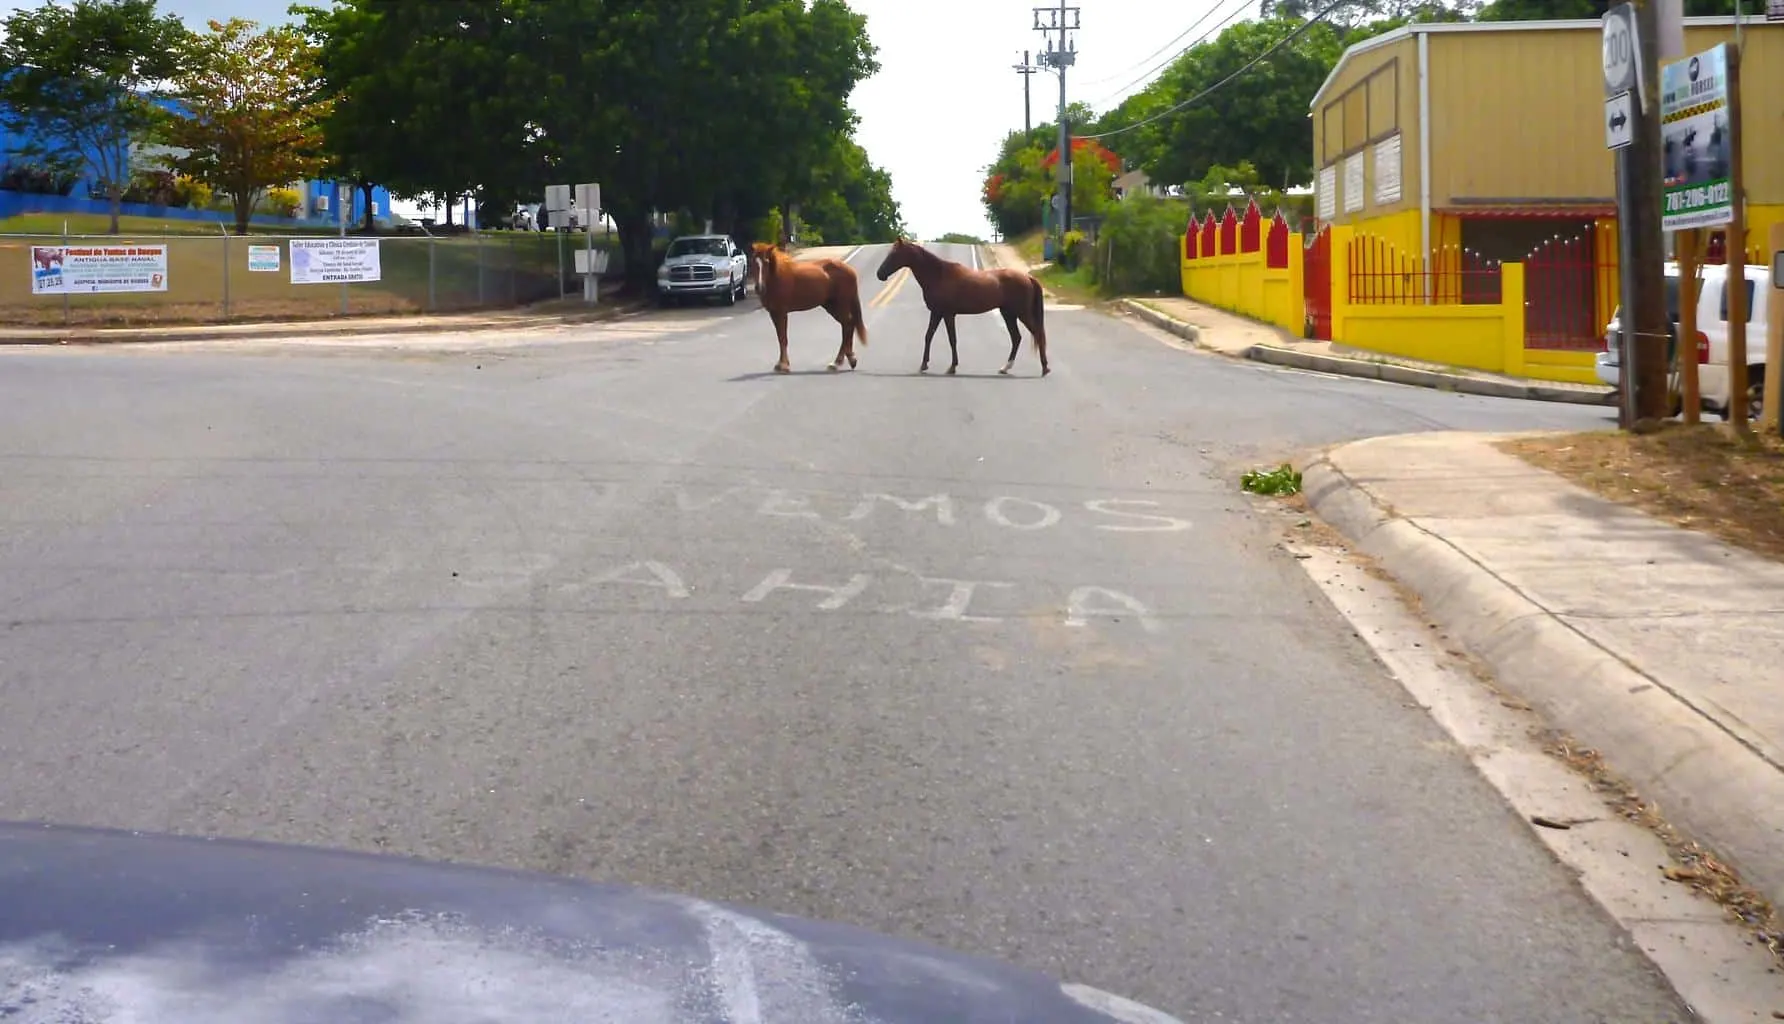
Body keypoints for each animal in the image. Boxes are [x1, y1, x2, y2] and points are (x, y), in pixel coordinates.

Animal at [749, 242, 867, 374]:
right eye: (753, 262)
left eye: (767, 262)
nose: (759, 287)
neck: (777, 277)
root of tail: (850, 271)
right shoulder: (773, 313)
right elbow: (780, 337)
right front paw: (780, 364)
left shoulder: (781, 312)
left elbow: (783, 338)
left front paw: (784, 365)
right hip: (831, 306)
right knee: (848, 324)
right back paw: (849, 360)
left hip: (841, 304)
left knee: (847, 325)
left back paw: (838, 362)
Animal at [874, 239, 1041, 379]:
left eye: (894, 255)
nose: (879, 274)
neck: (939, 276)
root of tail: (1028, 278)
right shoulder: (937, 313)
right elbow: (929, 336)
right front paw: (924, 364)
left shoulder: (947, 314)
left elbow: (952, 339)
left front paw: (952, 367)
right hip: (1008, 314)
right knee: (1016, 338)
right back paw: (1006, 368)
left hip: (1021, 314)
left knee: (1036, 334)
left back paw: (1044, 368)